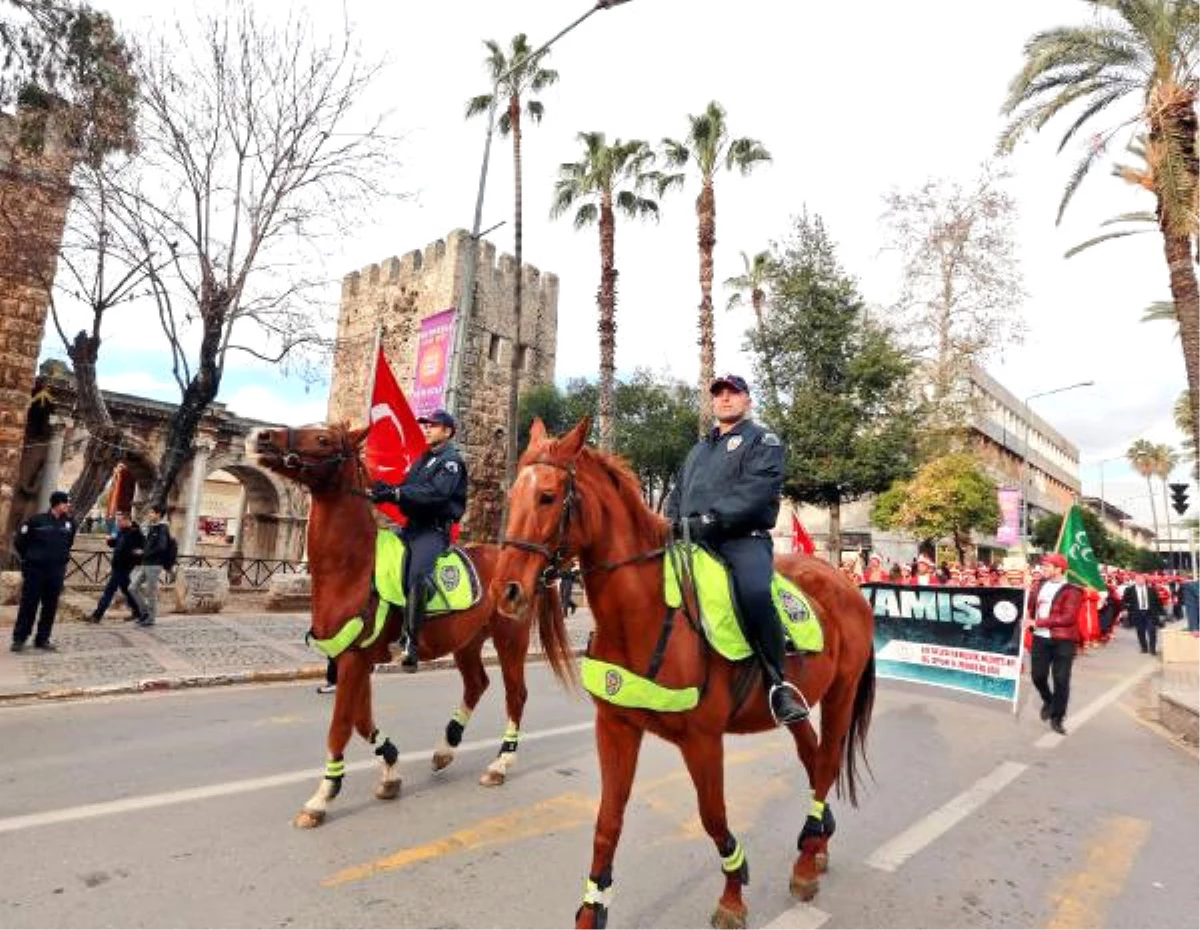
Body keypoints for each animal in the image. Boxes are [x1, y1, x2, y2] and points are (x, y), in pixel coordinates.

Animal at [254, 422, 576, 830]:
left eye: (324, 439)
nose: (262, 437)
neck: (352, 569)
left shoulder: (353, 660)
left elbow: (340, 726)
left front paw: (323, 796)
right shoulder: (355, 661)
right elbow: (362, 721)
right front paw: (391, 768)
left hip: (510, 638)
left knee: (515, 695)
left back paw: (501, 763)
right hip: (468, 641)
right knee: (477, 684)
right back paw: (446, 747)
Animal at [492, 422, 878, 930]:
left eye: (548, 497)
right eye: (513, 494)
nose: (506, 591)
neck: (647, 614)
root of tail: (846, 582)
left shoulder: (702, 740)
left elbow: (713, 816)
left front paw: (732, 896)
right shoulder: (616, 727)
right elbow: (607, 823)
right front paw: (592, 909)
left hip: (841, 694)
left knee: (827, 763)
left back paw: (804, 863)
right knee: (814, 759)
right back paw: (817, 843)